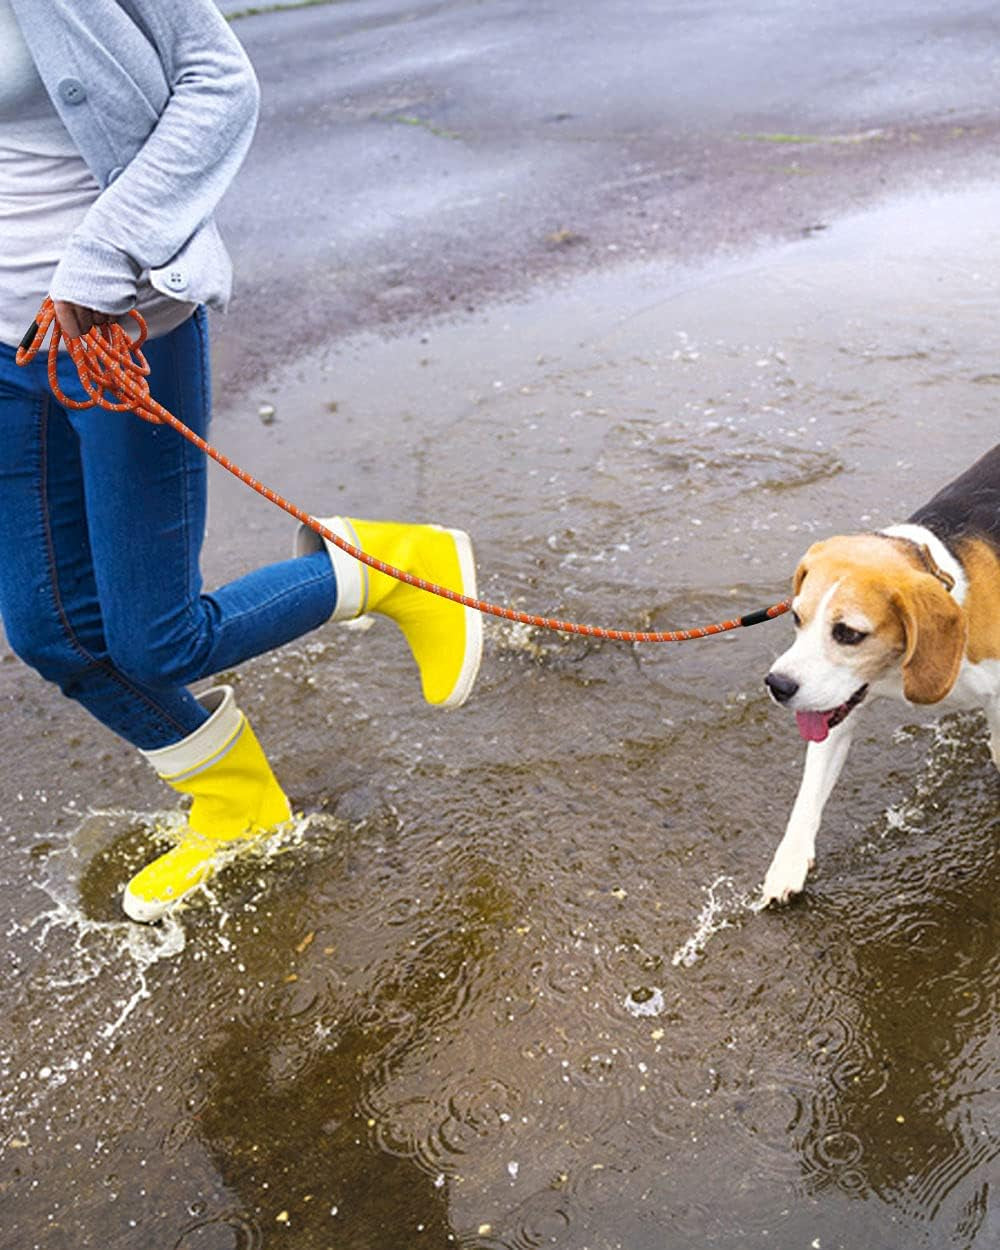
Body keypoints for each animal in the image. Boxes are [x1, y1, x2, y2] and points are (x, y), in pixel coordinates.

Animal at [760, 445, 1000, 905]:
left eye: (848, 633)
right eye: (796, 617)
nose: (777, 685)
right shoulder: (836, 708)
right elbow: (808, 794)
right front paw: (788, 864)